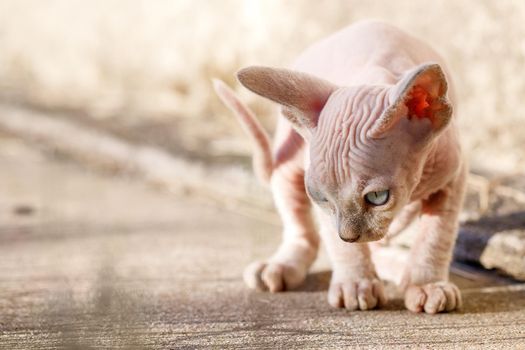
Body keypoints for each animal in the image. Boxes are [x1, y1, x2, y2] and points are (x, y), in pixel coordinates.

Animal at [214, 20, 466, 314]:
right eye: (321, 198)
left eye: (378, 197)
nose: (348, 235)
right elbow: (337, 244)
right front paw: (356, 285)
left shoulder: (453, 177)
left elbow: (436, 236)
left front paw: (427, 285)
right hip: (288, 167)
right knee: (302, 229)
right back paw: (278, 267)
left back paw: (400, 268)